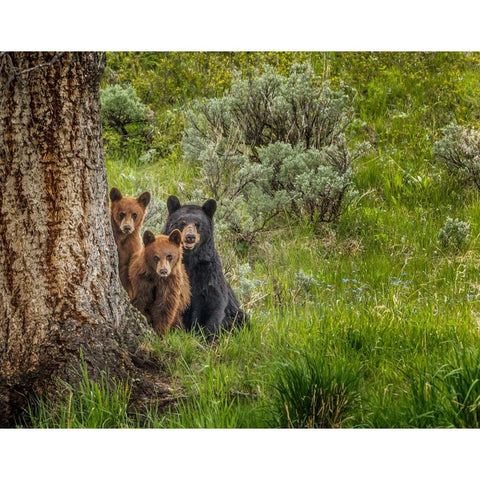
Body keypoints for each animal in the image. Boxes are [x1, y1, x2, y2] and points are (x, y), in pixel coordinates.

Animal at [161, 195, 248, 338]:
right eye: (182, 222)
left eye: (198, 224)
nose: (190, 237)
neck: (189, 260)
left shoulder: (208, 272)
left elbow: (213, 303)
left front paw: (207, 336)